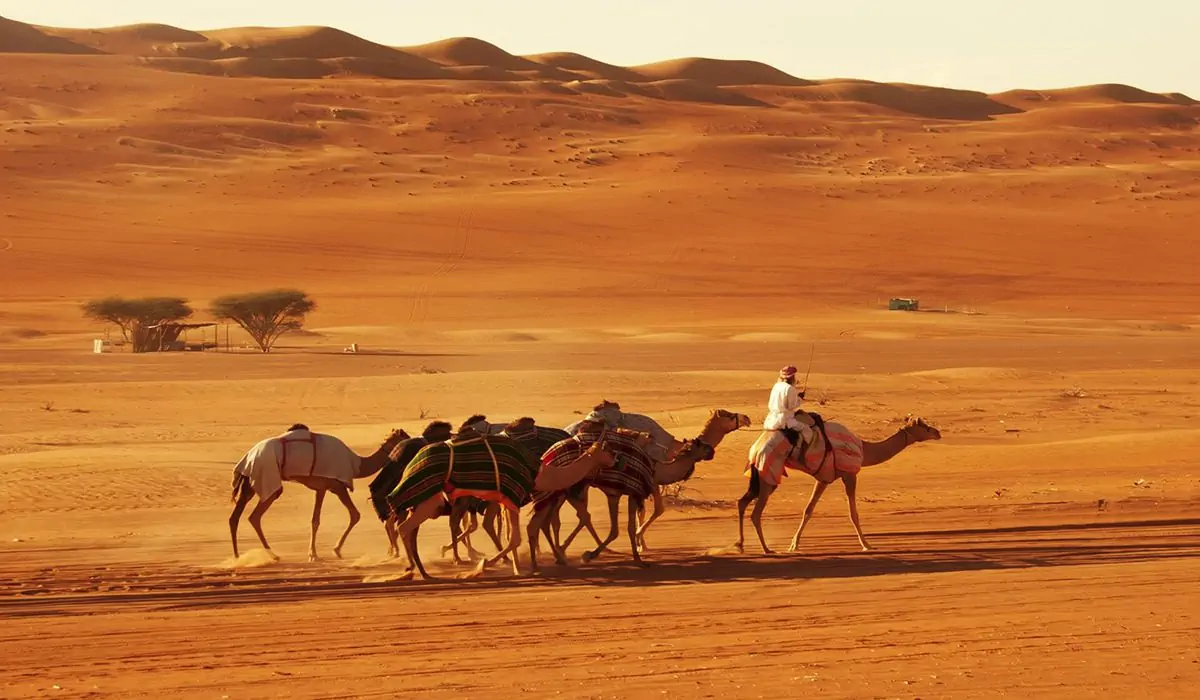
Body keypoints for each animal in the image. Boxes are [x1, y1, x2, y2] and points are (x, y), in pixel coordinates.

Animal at [228, 425, 408, 561]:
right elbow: (353, 515)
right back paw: (271, 555)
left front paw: (314, 553)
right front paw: (332, 551)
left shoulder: (321, 488)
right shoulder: (335, 485)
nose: (414, 438)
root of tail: (248, 456)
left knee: (236, 517)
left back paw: (238, 556)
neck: (357, 465)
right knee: (255, 516)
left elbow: (315, 520)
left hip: (250, 481)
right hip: (266, 478)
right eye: (404, 436)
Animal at [734, 413, 940, 557]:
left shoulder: (823, 479)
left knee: (742, 503)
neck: (864, 450)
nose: (938, 432)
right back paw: (766, 549)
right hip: (769, 473)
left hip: (758, 477)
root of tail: (754, 450)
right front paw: (867, 545)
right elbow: (853, 513)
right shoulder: (849, 474)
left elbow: (808, 510)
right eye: (925, 427)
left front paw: (794, 545)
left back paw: (741, 545)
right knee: (756, 513)